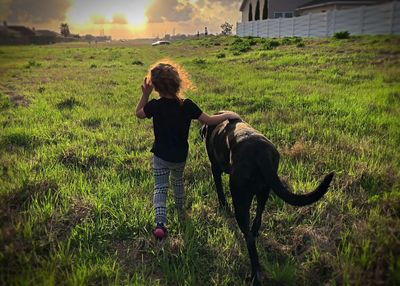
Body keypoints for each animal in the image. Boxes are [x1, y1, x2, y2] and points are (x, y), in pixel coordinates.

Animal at [200, 114, 334, 286]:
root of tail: (260, 153)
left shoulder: (215, 168)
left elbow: (219, 190)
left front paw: (223, 206)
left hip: (240, 199)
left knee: (249, 239)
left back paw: (255, 275)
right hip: (263, 192)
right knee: (258, 219)